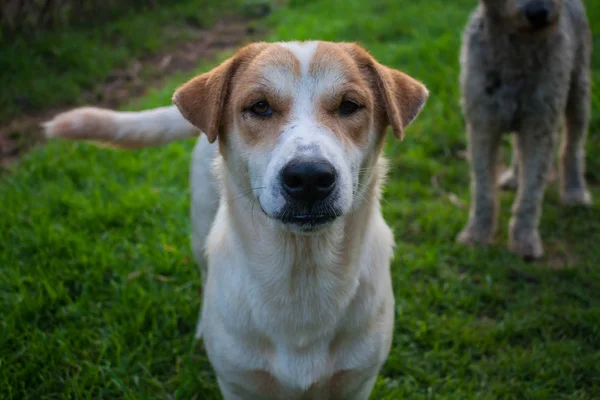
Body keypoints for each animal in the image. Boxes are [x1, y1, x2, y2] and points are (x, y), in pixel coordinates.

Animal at [44, 42, 428, 398]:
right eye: (259, 107)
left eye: (349, 105)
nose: (309, 177)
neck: (302, 274)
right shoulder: (237, 384)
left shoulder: (358, 381)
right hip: (200, 226)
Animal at [460, 0, 592, 260]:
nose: (538, 14)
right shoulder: (483, 123)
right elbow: (483, 188)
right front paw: (477, 234)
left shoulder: (540, 123)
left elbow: (531, 189)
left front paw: (524, 239)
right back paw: (513, 177)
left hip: (578, 89)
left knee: (573, 145)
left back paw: (574, 191)